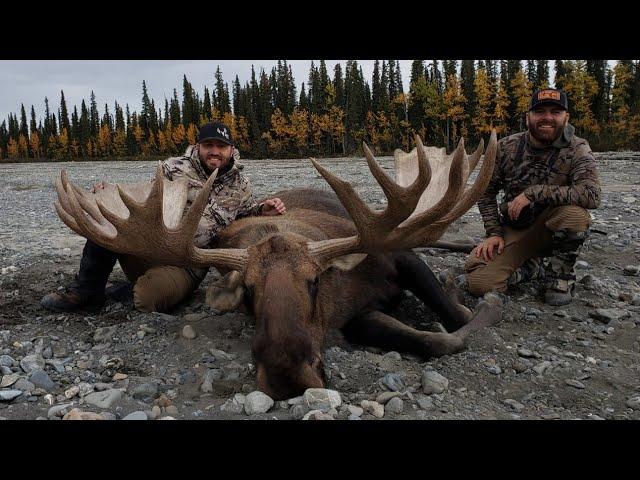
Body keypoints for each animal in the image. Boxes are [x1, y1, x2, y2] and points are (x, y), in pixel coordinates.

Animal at [53, 133, 500, 400]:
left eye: (316, 280)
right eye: (248, 291)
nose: (287, 377)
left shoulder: (401, 258)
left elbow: (454, 319)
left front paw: (483, 302)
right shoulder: (355, 318)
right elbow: (434, 340)